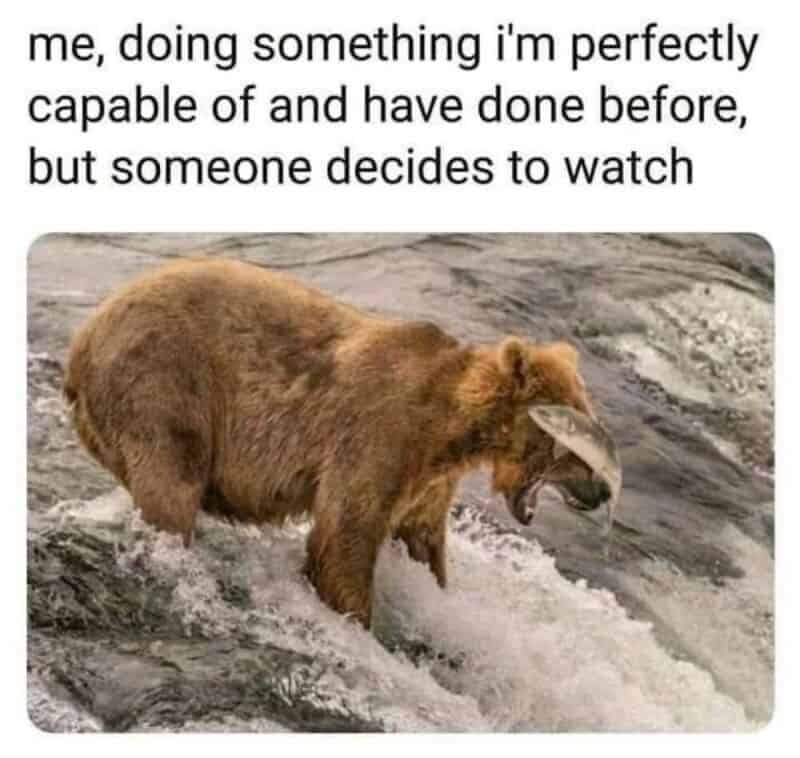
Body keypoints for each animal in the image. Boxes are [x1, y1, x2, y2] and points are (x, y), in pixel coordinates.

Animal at [64, 258, 610, 627]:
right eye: (573, 436)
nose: (602, 490)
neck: (451, 428)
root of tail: (82, 341)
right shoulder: (379, 435)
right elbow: (345, 534)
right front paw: (358, 617)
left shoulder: (428, 479)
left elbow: (422, 538)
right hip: (163, 384)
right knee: (171, 485)